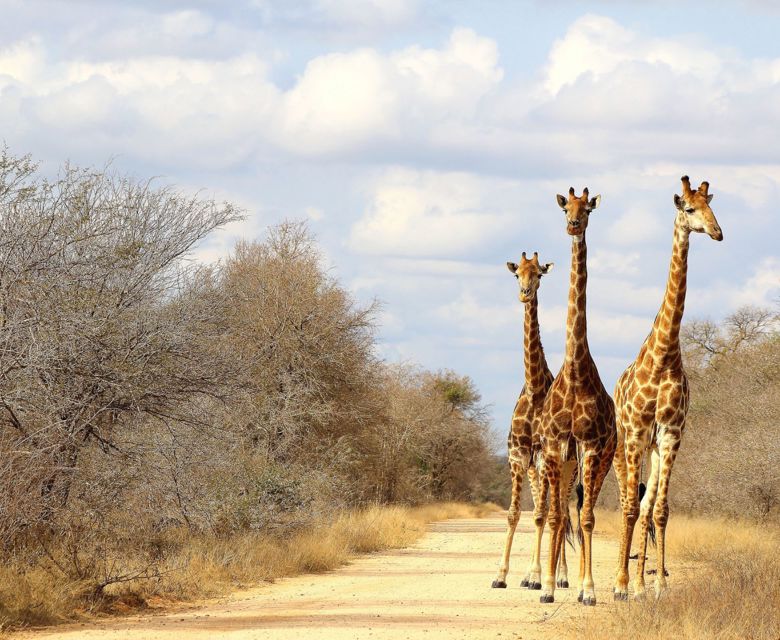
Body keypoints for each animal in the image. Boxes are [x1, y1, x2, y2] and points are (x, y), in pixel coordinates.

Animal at [612, 176, 722, 600]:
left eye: (711, 206)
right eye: (689, 209)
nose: (718, 232)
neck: (664, 355)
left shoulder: (672, 434)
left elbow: (659, 508)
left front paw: (655, 585)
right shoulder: (638, 432)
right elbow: (630, 506)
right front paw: (622, 586)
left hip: (655, 448)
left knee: (644, 505)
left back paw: (641, 582)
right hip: (625, 443)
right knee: (626, 500)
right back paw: (621, 580)